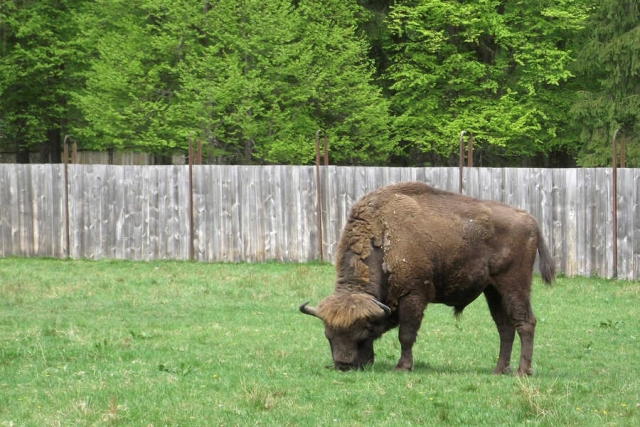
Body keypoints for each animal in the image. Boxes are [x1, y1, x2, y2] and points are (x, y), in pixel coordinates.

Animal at [300, 182, 556, 376]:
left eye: (363, 334)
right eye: (328, 336)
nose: (344, 365)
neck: (383, 232)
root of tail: (529, 219)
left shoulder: (413, 296)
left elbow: (406, 335)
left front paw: (402, 367)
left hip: (514, 284)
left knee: (525, 322)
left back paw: (522, 371)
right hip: (492, 290)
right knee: (505, 327)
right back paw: (499, 370)